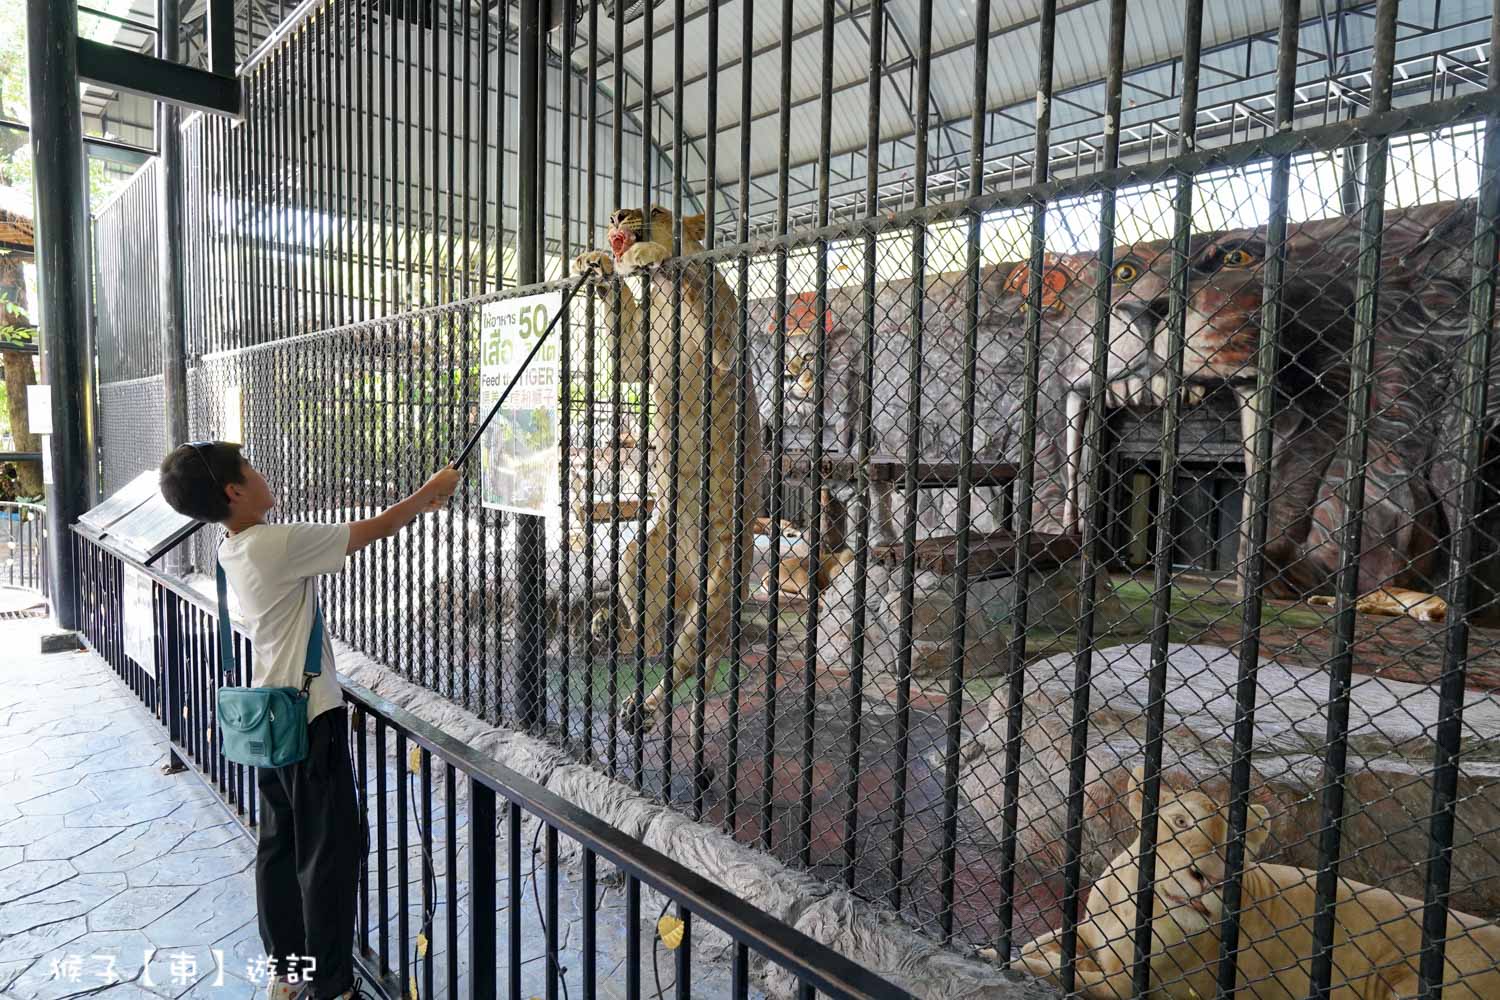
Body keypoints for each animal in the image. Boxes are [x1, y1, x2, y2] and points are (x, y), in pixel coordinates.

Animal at [1020, 773, 1500, 995]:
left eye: (1237, 843)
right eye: (1180, 821)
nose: (1211, 876)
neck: (1139, 905)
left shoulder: (1127, 985)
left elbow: (1058, 970)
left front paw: (1013, 957)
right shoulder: (1089, 931)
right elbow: (1047, 940)